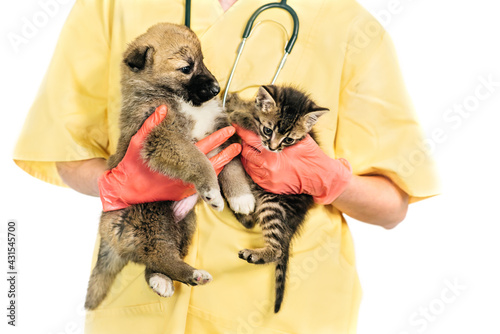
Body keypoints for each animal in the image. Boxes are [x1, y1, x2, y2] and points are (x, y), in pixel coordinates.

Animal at [85, 23, 254, 310]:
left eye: (203, 61)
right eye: (186, 67)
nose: (216, 88)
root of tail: (107, 235)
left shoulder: (219, 132)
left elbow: (232, 165)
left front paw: (241, 197)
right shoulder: (164, 137)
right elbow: (199, 160)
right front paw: (212, 190)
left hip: (184, 225)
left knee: (155, 261)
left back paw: (161, 280)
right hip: (151, 218)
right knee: (159, 254)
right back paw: (192, 274)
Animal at [226, 84, 328, 314]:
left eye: (289, 140)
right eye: (268, 130)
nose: (272, 148)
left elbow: (247, 121)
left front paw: (238, 114)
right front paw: (234, 102)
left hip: (273, 203)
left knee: (277, 248)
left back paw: (257, 254)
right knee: (250, 220)